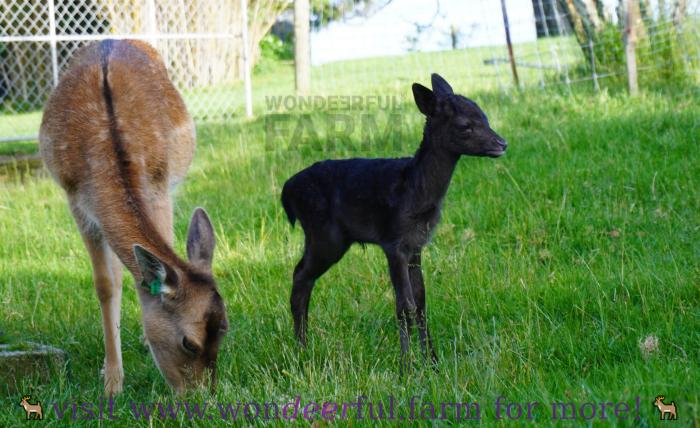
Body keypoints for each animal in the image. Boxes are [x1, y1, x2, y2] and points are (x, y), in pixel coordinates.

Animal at [39, 39, 228, 395]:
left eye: (225, 329)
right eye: (189, 343)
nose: (202, 397)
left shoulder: (160, 185)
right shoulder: (77, 201)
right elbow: (105, 284)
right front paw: (112, 383)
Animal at [281, 73, 507, 369]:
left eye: (485, 117)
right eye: (465, 126)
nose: (502, 144)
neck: (414, 191)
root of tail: (287, 191)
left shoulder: (416, 244)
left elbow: (420, 301)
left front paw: (432, 362)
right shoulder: (393, 241)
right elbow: (404, 305)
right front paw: (406, 367)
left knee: (303, 277)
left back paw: (303, 348)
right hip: (325, 235)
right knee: (300, 274)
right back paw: (301, 349)